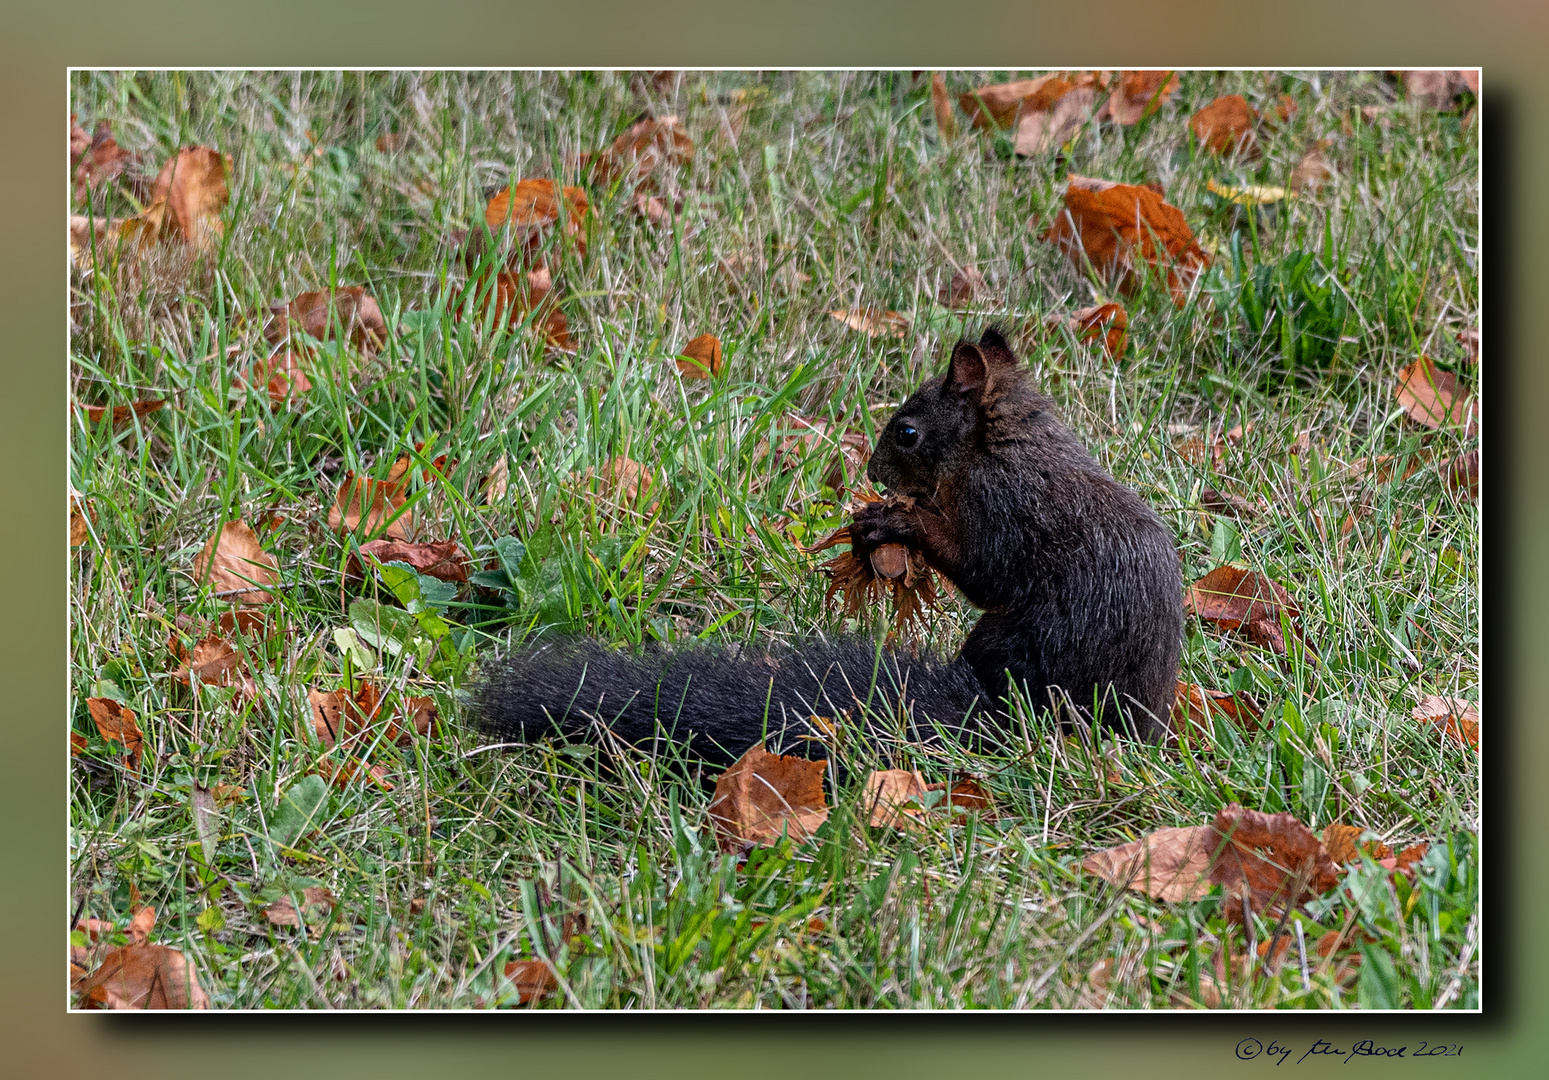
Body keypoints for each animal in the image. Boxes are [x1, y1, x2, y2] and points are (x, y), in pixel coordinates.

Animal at [470, 328, 1171, 765]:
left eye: (907, 432)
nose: (875, 474)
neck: (1006, 442)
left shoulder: (1006, 505)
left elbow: (984, 570)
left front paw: (898, 524)